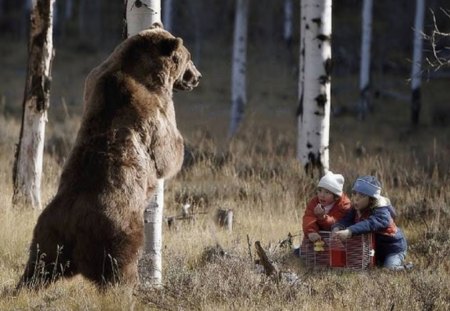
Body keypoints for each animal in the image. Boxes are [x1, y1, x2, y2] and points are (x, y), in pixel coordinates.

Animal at [17, 24, 200, 290]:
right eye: (188, 57)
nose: (197, 77)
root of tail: (73, 226)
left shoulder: (94, 79)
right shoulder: (154, 107)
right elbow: (167, 149)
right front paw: (178, 152)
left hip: (47, 236)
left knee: (37, 268)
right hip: (117, 234)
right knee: (119, 270)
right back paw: (129, 288)